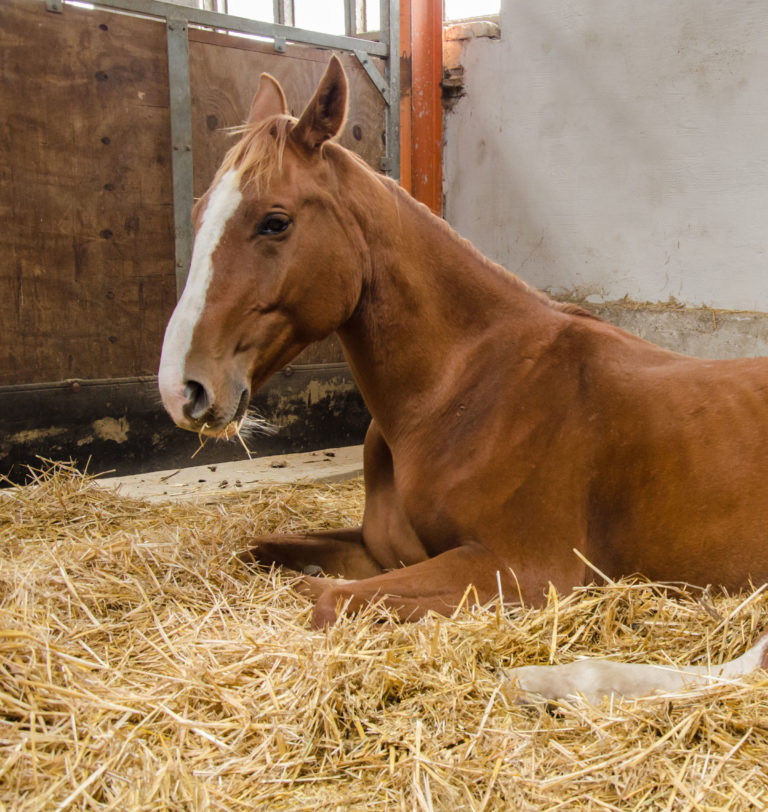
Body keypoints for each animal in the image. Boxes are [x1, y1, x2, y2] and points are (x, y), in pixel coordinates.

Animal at [158, 56, 768, 700]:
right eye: (199, 213)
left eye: (274, 222)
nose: (182, 389)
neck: (459, 392)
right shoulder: (382, 549)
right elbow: (265, 554)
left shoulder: (523, 573)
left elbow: (327, 599)